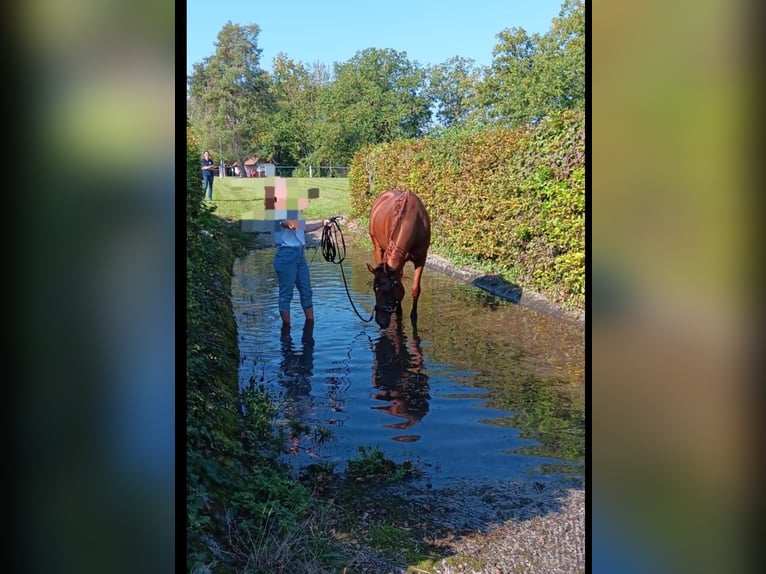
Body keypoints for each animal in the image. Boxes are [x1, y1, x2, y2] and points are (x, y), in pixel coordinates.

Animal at [368, 190, 432, 330]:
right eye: (374, 289)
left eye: (386, 291)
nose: (380, 322)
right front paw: (399, 310)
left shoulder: (421, 259)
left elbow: (415, 289)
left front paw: (413, 316)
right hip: (377, 246)